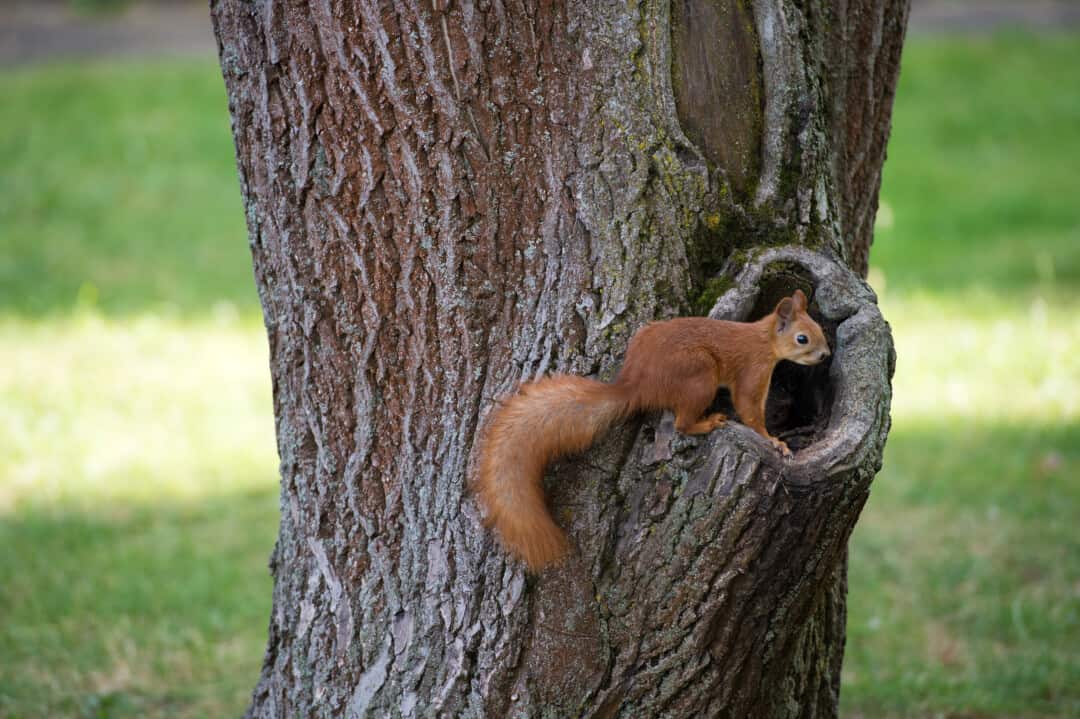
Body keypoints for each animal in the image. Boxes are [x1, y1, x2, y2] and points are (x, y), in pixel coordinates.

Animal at [475, 289, 831, 571]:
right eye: (802, 338)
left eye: (819, 329)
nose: (826, 355)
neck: (764, 339)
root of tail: (638, 385)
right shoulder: (752, 371)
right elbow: (750, 411)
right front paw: (774, 441)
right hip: (698, 375)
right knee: (682, 424)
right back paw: (707, 422)